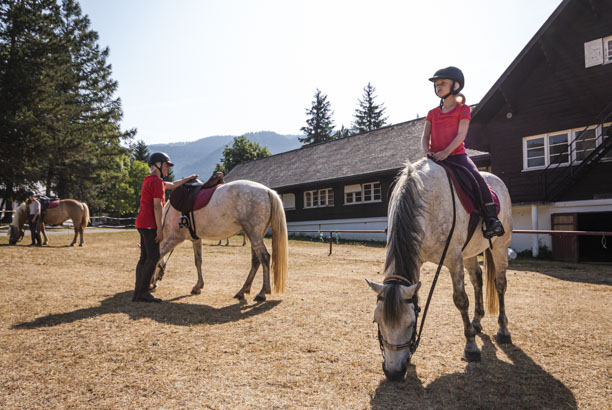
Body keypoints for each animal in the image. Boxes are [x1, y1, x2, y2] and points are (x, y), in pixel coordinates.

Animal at [152, 179, 288, 302]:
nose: (153, 285)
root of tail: (267, 190)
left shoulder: (175, 238)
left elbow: (158, 255)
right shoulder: (196, 240)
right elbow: (198, 261)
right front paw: (198, 286)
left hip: (254, 234)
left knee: (264, 258)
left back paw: (262, 293)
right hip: (254, 236)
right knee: (256, 261)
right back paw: (242, 291)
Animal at [366, 159, 512, 382]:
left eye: (410, 323)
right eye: (377, 321)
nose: (393, 373)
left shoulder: (453, 257)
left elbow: (461, 300)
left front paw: (471, 348)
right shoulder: (418, 260)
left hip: (500, 246)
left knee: (500, 284)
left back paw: (503, 330)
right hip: (469, 252)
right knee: (477, 279)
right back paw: (477, 321)